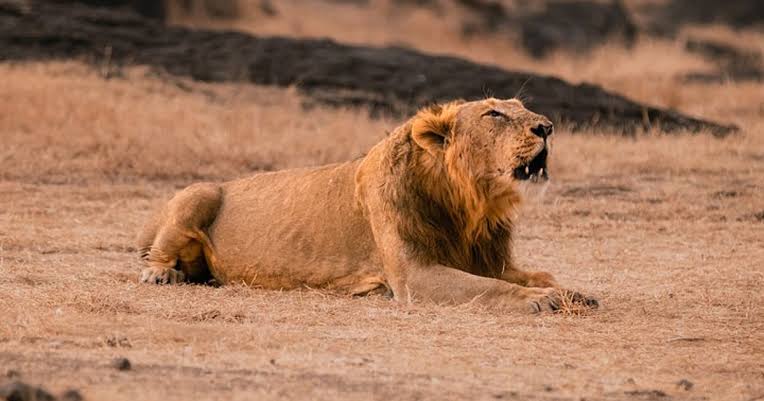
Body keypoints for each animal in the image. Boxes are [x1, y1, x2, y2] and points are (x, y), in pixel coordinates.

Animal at [136, 98, 597, 313]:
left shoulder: (491, 260)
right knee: (157, 250)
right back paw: (160, 274)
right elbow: (490, 288)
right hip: (200, 190)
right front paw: (541, 300)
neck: (469, 205)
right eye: (494, 114)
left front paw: (571, 292)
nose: (547, 127)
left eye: (520, 108)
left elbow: (537, 275)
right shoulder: (414, 278)